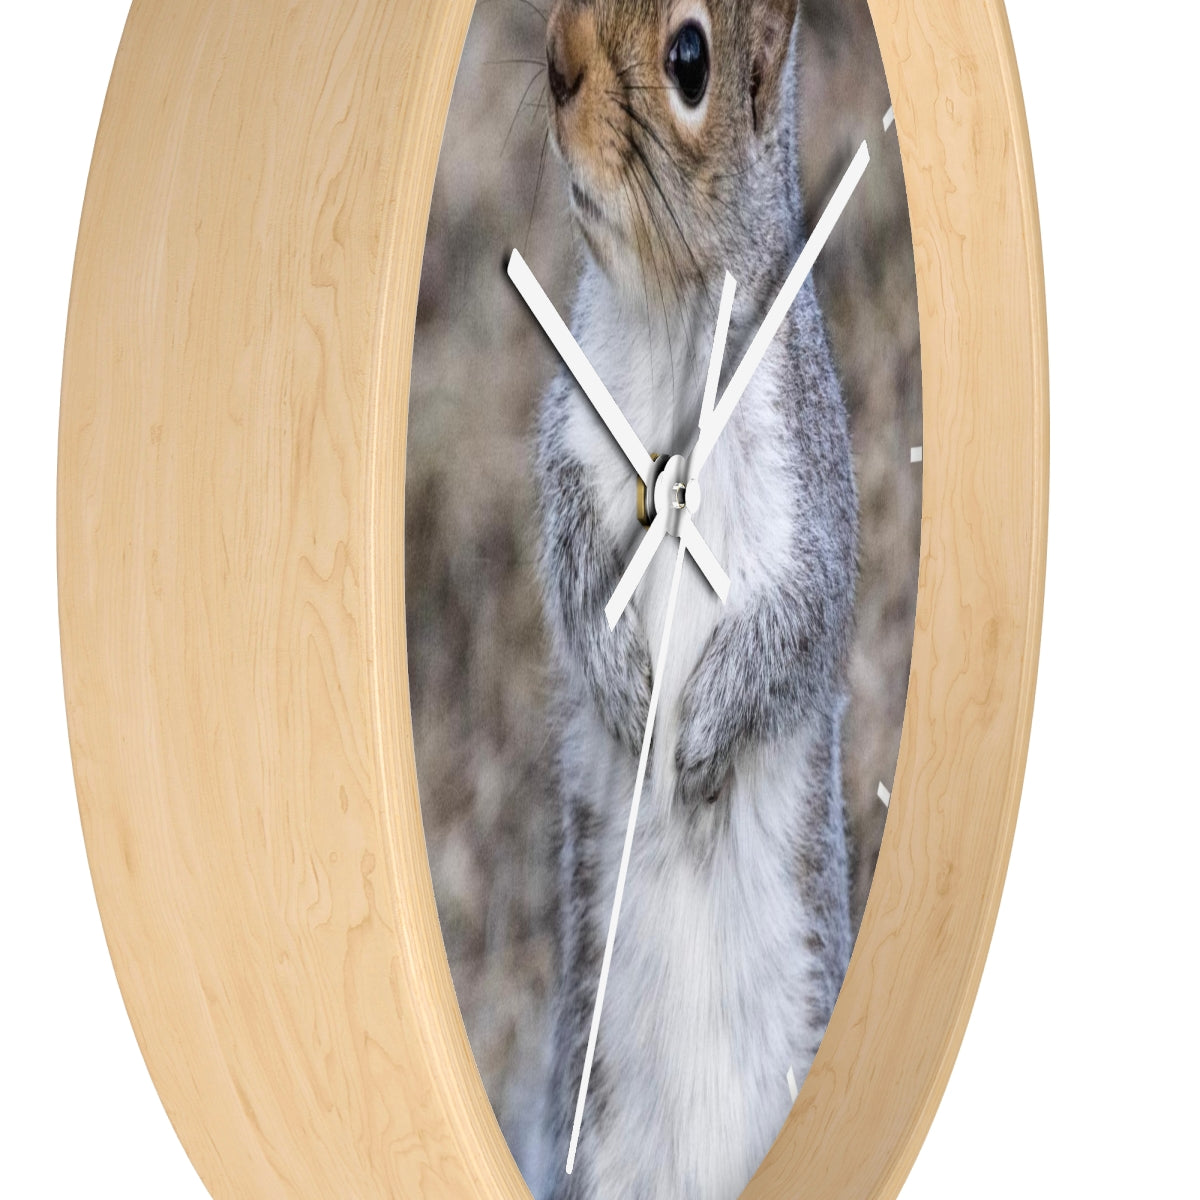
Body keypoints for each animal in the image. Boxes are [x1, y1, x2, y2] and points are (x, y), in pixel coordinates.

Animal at [530, 3, 858, 1196]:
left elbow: (798, 624)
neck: (672, 314)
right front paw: (630, 696)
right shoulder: (573, 437)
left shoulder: (810, 490)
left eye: (689, 61)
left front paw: (702, 744)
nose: (557, 62)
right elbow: (573, 561)